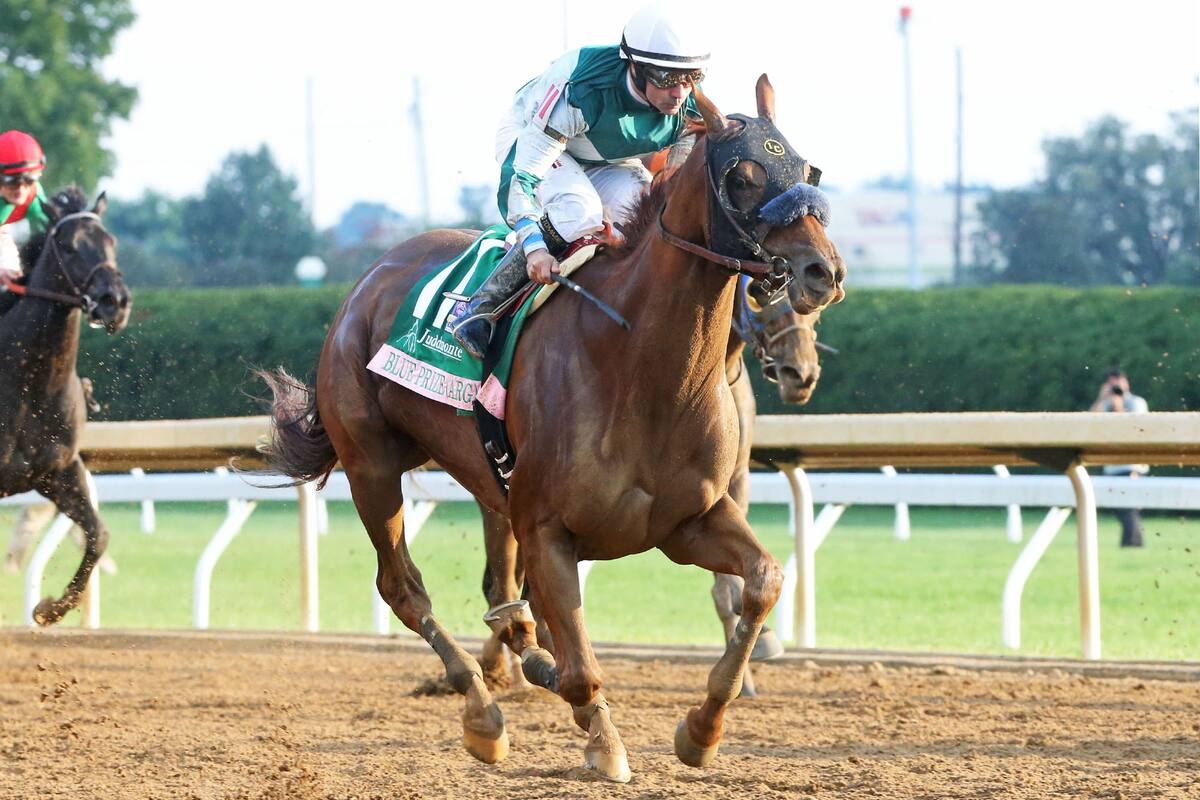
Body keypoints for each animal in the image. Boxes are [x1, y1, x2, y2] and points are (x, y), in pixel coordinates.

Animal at [0, 187, 131, 625]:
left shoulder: (57, 470)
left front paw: (50, 608)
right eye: (71, 247)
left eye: (111, 242)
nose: (115, 301)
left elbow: (98, 533)